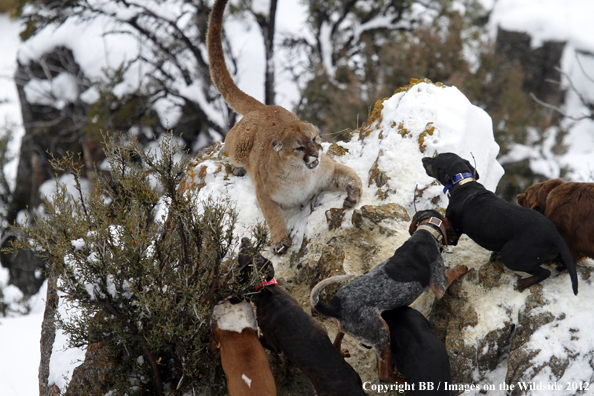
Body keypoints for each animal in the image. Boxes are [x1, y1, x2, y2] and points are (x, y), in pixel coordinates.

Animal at [206, 0, 364, 254]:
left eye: (315, 139)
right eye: (299, 147)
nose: (315, 154)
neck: (300, 175)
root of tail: (266, 107)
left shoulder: (328, 171)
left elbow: (351, 174)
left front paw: (353, 196)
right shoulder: (264, 192)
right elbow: (272, 215)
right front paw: (280, 240)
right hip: (239, 144)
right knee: (228, 147)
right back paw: (238, 168)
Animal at [310, 210, 468, 384]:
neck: (427, 230)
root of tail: (335, 308)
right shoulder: (440, 285)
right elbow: (453, 272)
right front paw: (462, 268)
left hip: (347, 328)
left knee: (336, 343)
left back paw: (341, 352)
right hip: (381, 332)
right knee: (384, 374)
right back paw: (403, 382)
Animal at [424, 152, 576, 294]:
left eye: (435, 159)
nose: (423, 159)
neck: (462, 182)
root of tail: (554, 234)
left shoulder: (453, 233)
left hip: (512, 255)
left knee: (544, 273)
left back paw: (523, 284)